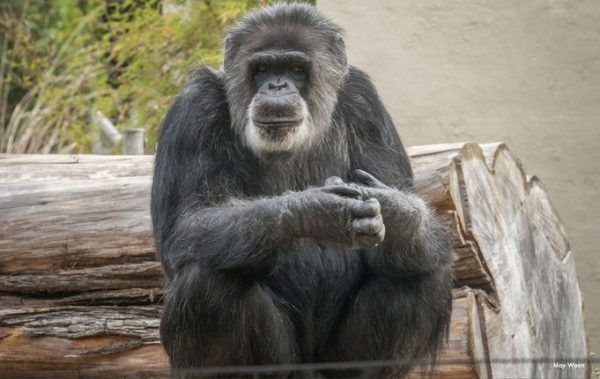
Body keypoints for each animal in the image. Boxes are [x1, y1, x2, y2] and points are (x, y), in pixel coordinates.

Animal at [150, 3, 450, 379]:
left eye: (295, 68)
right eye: (262, 68)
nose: (277, 86)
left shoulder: (367, 106)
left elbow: (418, 227)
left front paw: (395, 209)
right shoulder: (193, 111)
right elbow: (185, 223)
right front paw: (317, 211)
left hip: (335, 362)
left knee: (418, 274)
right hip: (285, 364)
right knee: (207, 282)